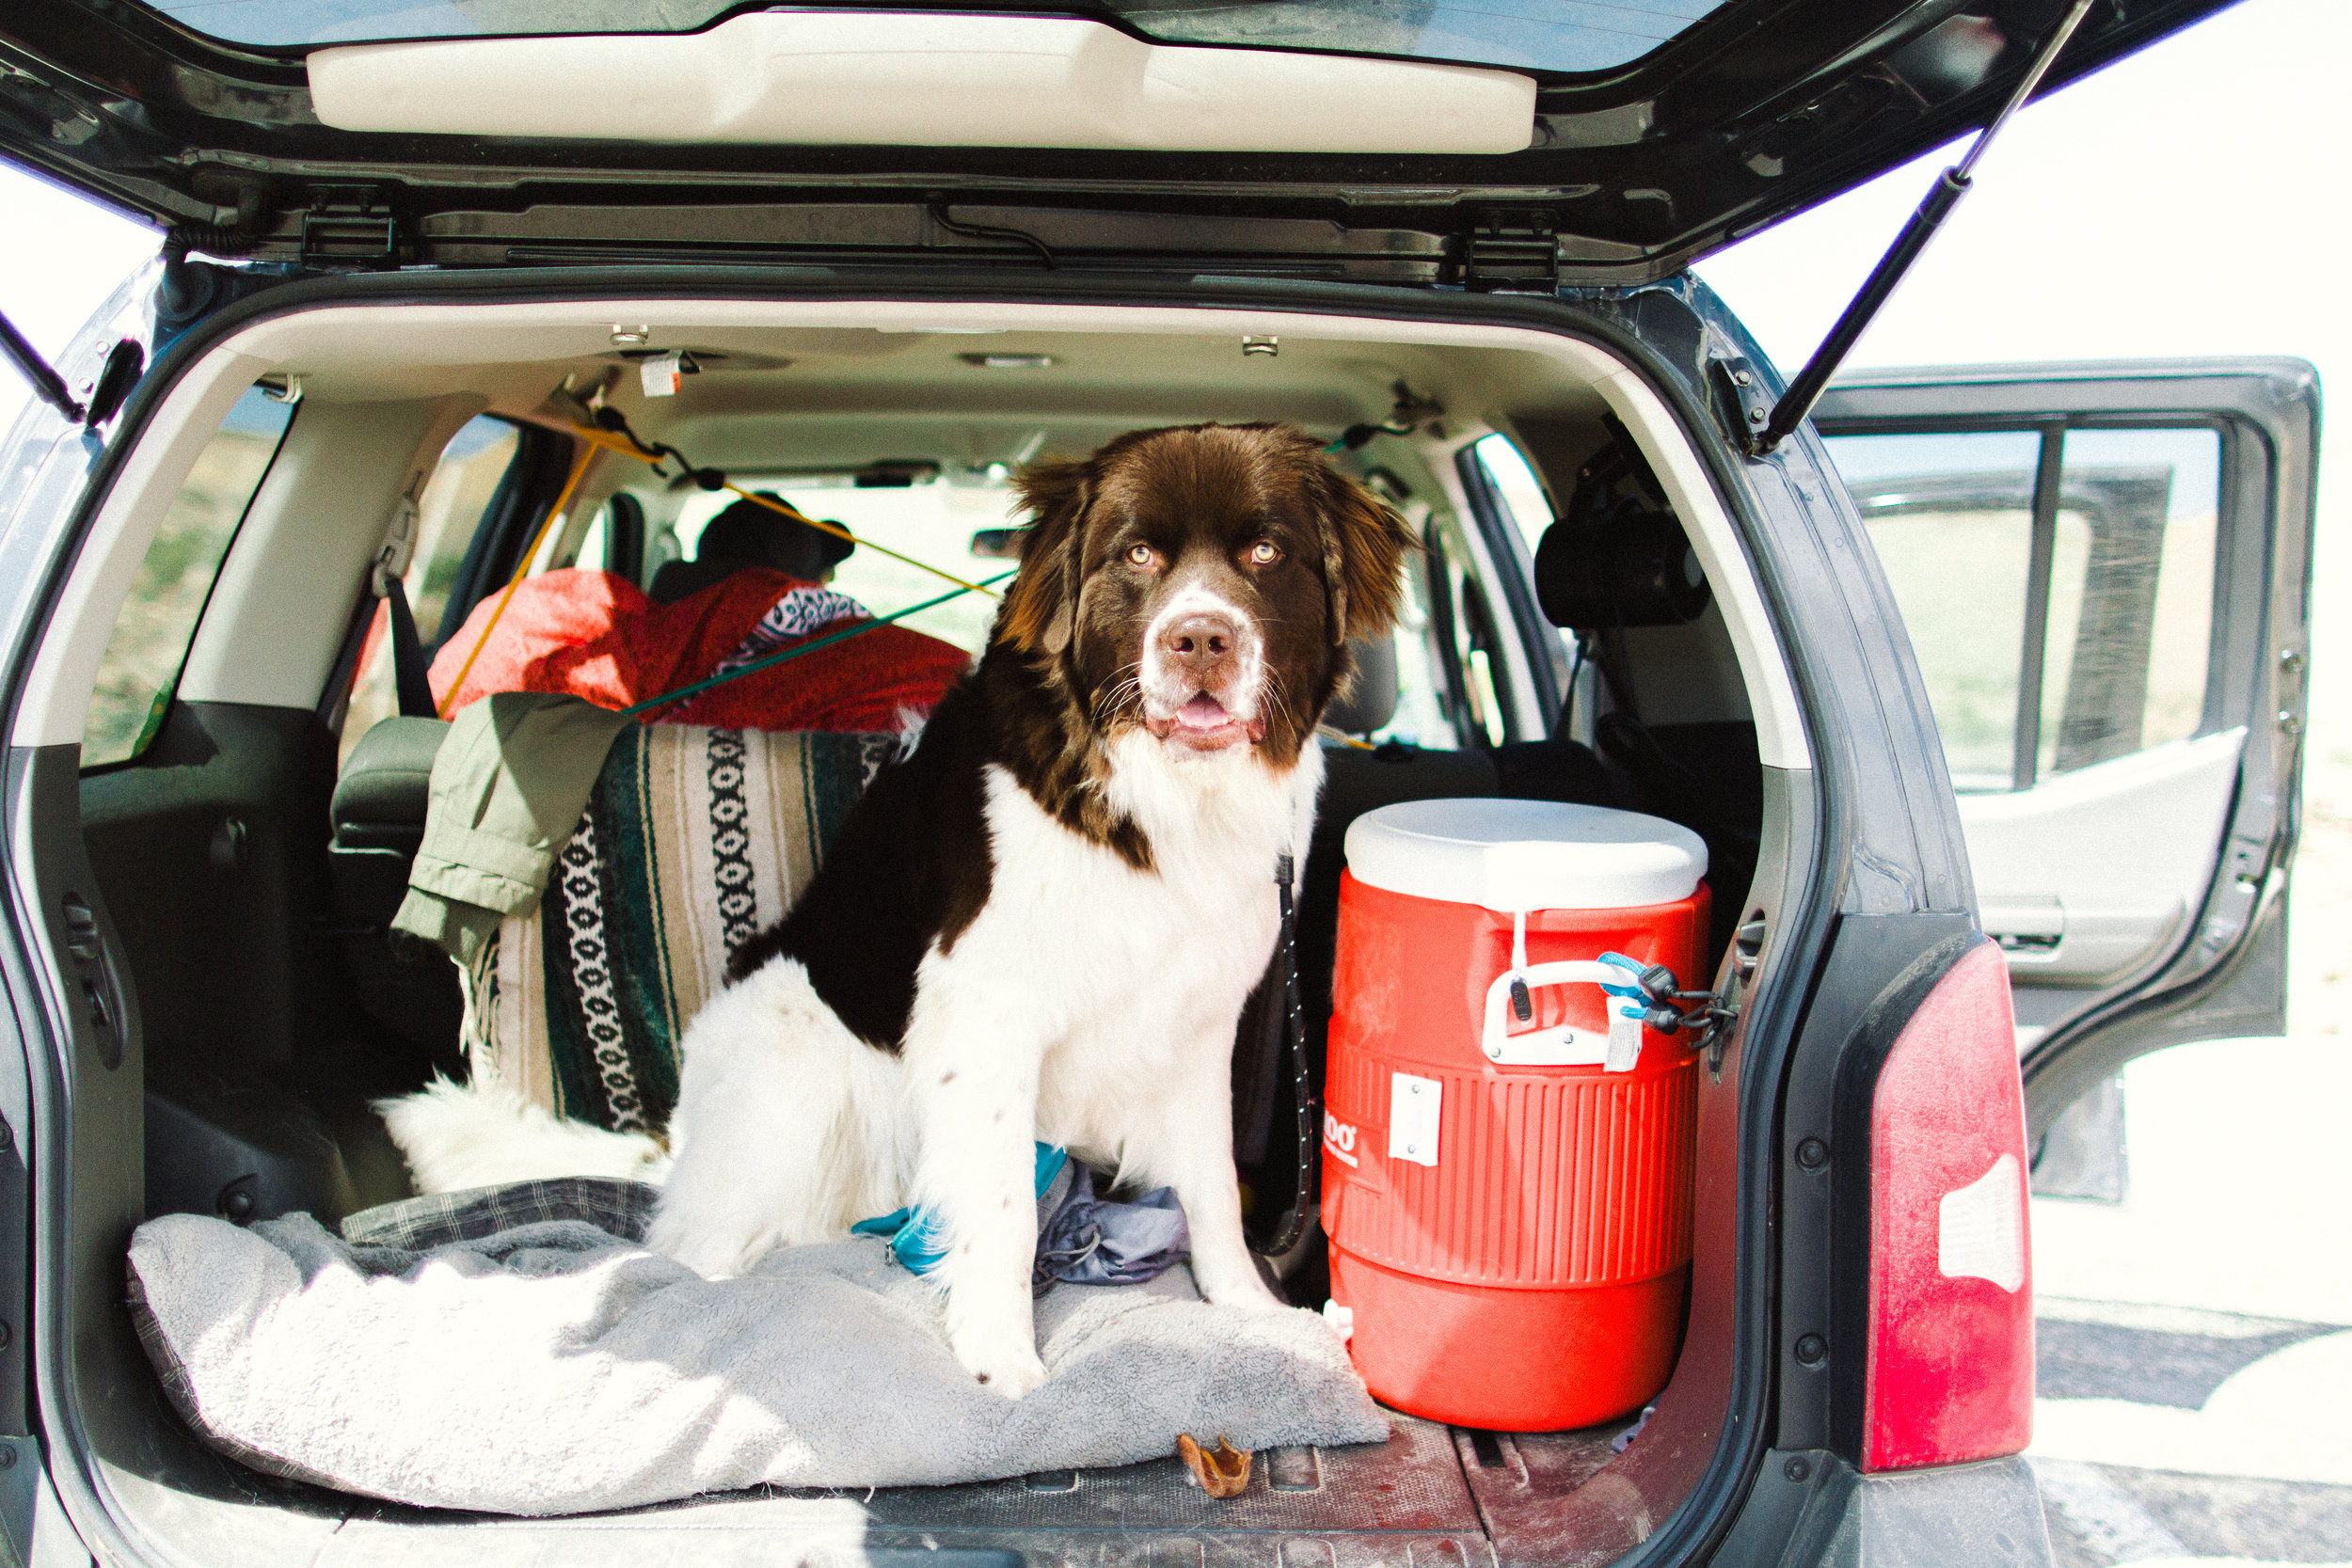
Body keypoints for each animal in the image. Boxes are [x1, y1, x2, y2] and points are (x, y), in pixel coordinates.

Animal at [644, 422, 1411, 1391]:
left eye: (1266, 553)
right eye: (1139, 554)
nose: (1200, 638)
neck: (1160, 794)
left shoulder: (1201, 1018)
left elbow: (1208, 1180)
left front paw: (1246, 1307)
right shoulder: (988, 1014)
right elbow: (1006, 1202)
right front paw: (1001, 1361)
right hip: (791, 1071)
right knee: (692, 1241)